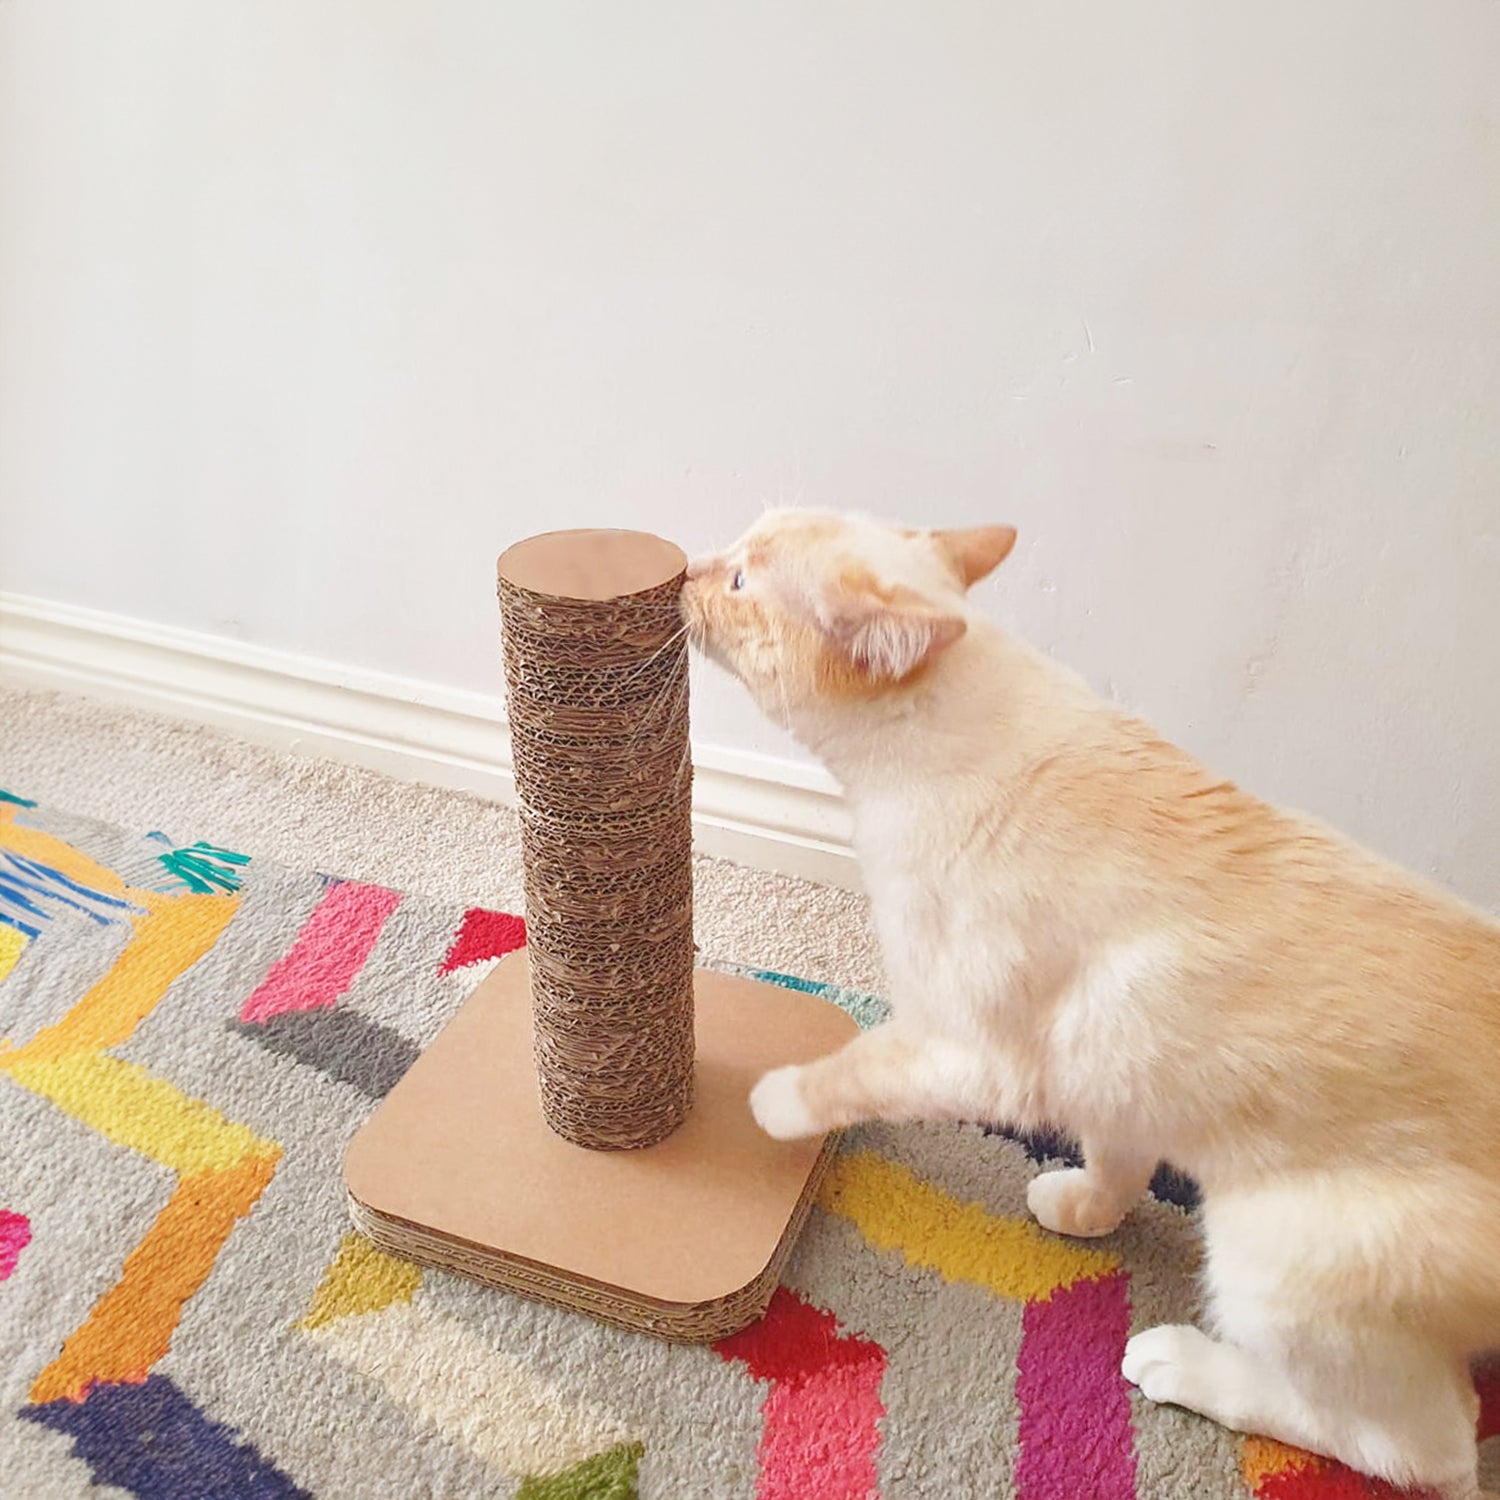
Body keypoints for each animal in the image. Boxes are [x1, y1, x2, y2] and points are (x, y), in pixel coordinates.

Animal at [681, 509, 1500, 1499]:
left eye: (739, 583)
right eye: (730, 551)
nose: (684, 567)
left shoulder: (971, 1050)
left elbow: (850, 1071)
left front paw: (775, 1104)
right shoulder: (1117, 1054)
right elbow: (1117, 1154)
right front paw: (1085, 1208)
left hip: (1274, 1265)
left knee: (1421, 1447)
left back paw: (1181, 1362)